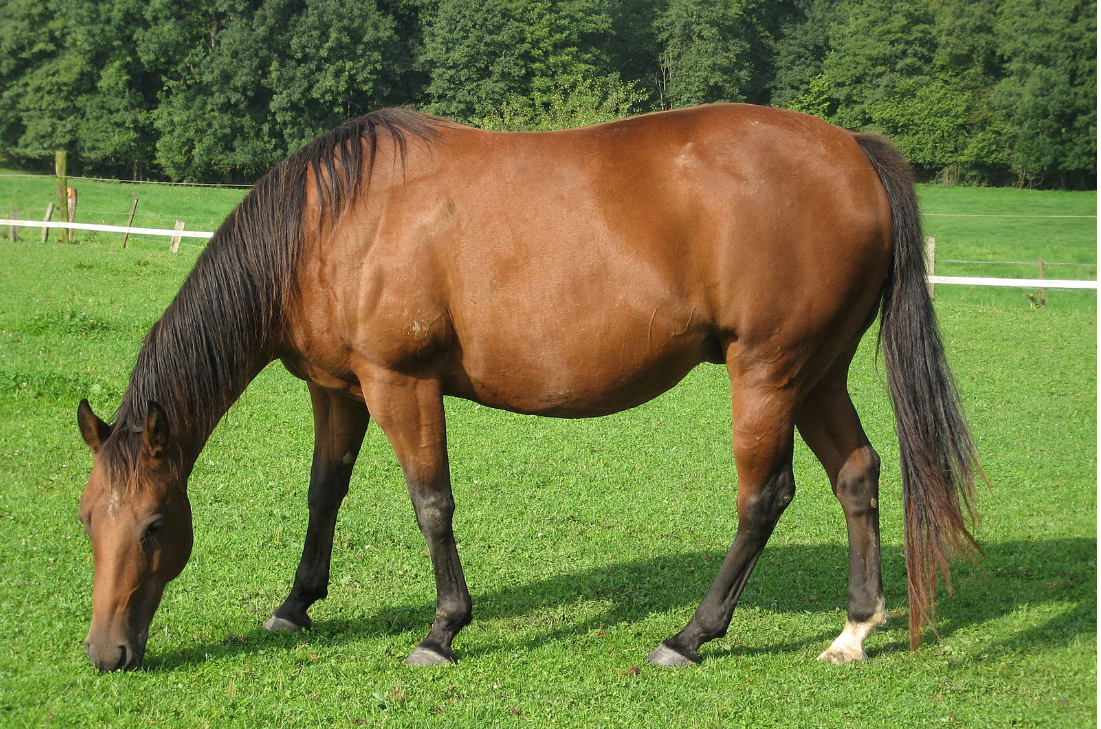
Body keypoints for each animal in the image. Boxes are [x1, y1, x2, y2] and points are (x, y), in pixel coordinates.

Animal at [76, 103, 979, 672]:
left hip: (767, 372)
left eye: (154, 526)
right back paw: (853, 628)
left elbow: (430, 504)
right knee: (856, 473)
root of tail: (850, 149)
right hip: (816, 372)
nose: (106, 652)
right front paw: (295, 604)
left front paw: (442, 629)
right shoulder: (337, 389)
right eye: (89, 519)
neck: (332, 222)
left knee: (765, 497)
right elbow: (323, 492)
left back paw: (689, 635)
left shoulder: (400, 384)